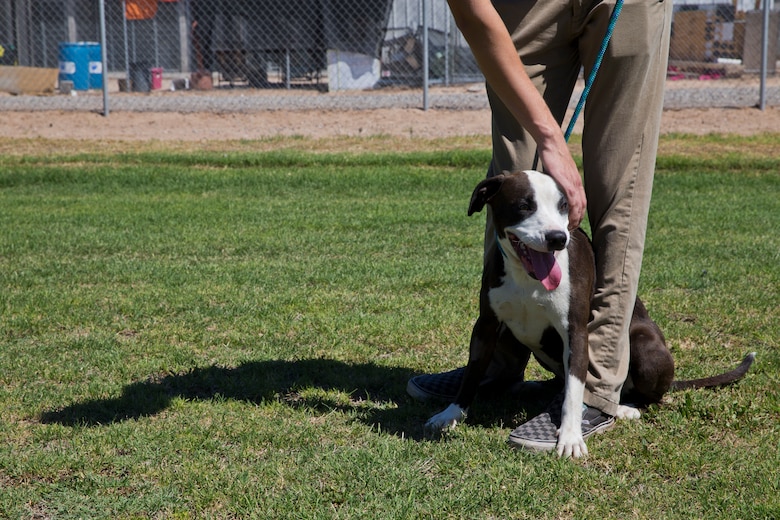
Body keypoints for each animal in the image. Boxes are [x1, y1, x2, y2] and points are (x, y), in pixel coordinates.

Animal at [426, 170, 756, 456]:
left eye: (563, 207)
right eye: (524, 205)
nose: (558, 238)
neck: (526, 277)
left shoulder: (575, 331)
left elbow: (575, 390)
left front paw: (570, 436)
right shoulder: (486, 325)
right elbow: (473, 373)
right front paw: (451, 413)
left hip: (644, 347)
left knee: (649, 396)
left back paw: (622, 407)